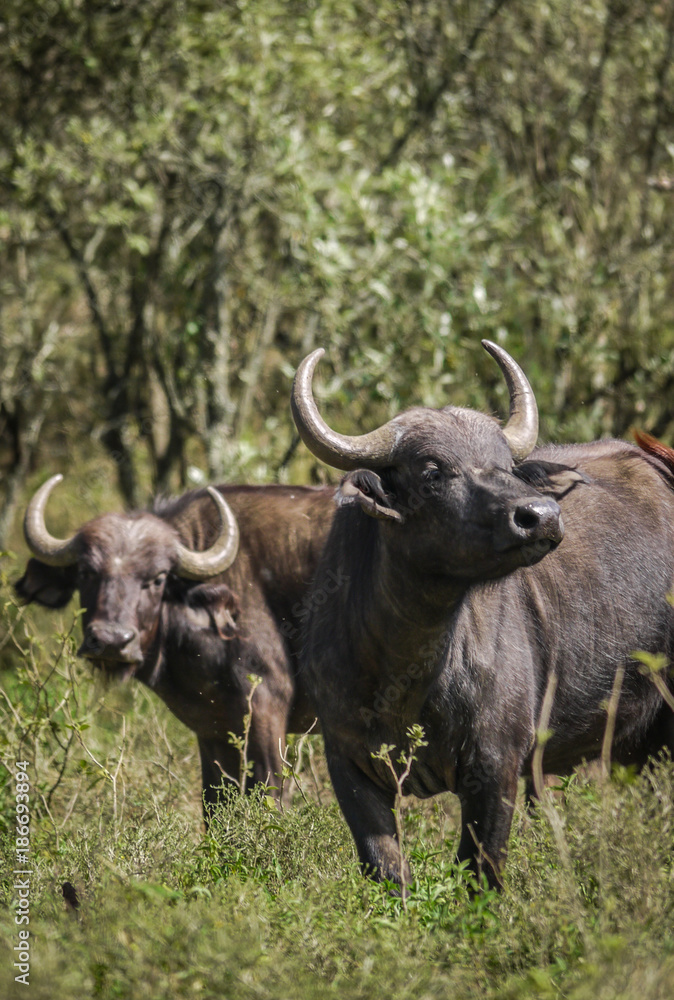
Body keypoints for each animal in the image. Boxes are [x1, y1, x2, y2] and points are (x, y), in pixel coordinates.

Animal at [13, 480, 334, 816]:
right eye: (87, 572)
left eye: (157, 579)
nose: (112, 641)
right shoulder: (213, 731)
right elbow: (214, 807)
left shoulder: (265, 710)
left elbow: (271, 800)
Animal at [292, 344, 672, 892]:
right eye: (432, 471)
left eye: (506, 466)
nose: (540, 515)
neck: (403, 671)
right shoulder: (347, 763)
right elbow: (386, 868)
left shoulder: (496, 766)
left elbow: (481, 872)